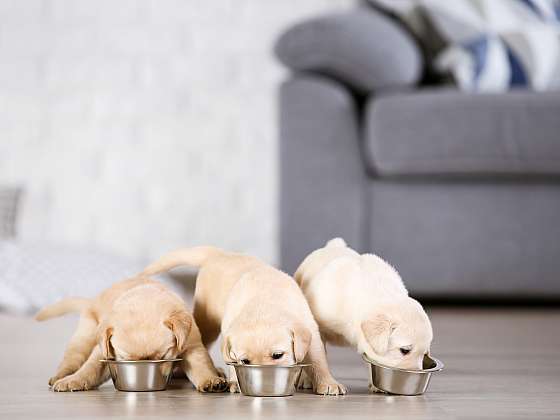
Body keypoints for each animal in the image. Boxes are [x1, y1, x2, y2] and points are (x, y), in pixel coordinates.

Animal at [36, 278, 228, 392]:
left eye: (163, 356)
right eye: (126, 359)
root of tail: (92, 301)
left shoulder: (191, 345)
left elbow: (201, 365)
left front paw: (211, 380)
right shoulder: (105, 352)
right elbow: (91, 368)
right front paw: (74, 380)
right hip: (84, 337)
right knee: (72, 359)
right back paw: (62, 376)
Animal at [141, 244, 346, 396]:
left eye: (278, 355)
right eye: (245, 361)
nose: (266, 381)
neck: (264, 305)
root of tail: (219, 254)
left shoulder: (310, 331)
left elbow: (318, 360)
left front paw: (328, 383)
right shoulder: (229, 335)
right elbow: (231, 361)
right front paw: (235, 381)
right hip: (207, 321)